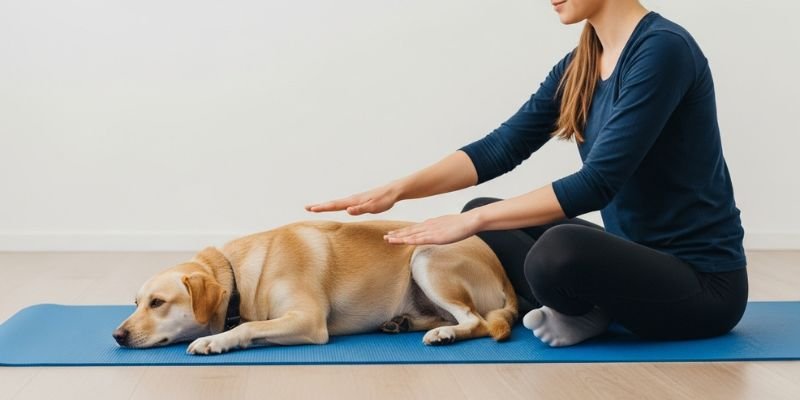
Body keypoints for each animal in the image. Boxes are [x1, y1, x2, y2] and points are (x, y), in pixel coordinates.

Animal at [112, 220, 518, 354]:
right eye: (135, 302)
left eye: (157, 302)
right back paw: (402, 323)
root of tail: (503, 274)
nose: (117, 335)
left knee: (477, 321)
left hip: (425, 256)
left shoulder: (307, 320)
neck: (239, 274)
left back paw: (444, 335)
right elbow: (253, 325)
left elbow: (248, 326)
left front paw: (215, 341)